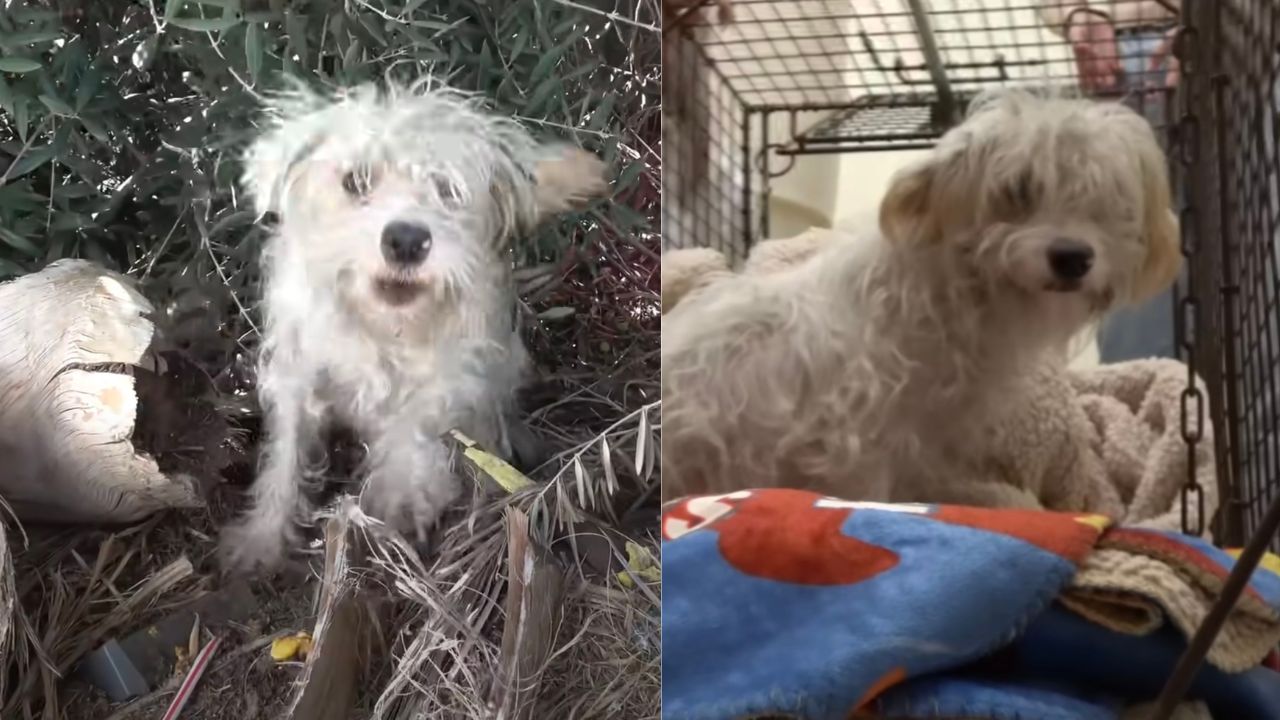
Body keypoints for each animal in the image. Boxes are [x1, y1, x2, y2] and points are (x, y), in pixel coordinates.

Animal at [221, 78, 609, 571]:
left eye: (447, 189)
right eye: (356, 180)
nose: (406, 239)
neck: (383, 324)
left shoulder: (451, 373)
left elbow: (414, 423)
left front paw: (401, 504)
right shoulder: (297, 372)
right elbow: (285, 457)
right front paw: (261, 539)